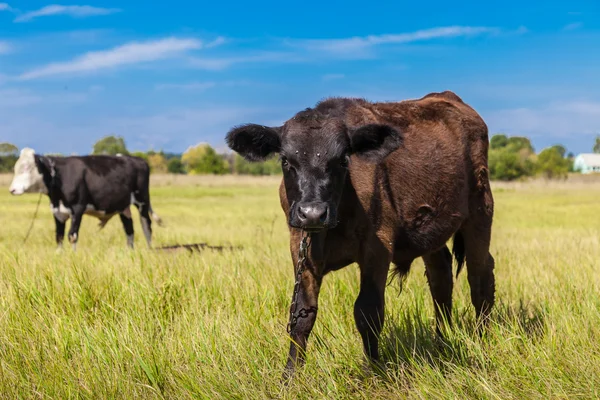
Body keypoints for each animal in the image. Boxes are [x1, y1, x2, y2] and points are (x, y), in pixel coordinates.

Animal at [8, 148, 162, 248]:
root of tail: (137, 159)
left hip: (142, 200)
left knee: (146, 225)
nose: (12, 190)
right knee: (129, 229)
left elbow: (72, 236)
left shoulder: (77, 209)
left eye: (27, 168)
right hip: (123, 207)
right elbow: (59, 237)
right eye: (15, 168)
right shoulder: (57, 212)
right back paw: (129, 251)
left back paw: (149, 249)